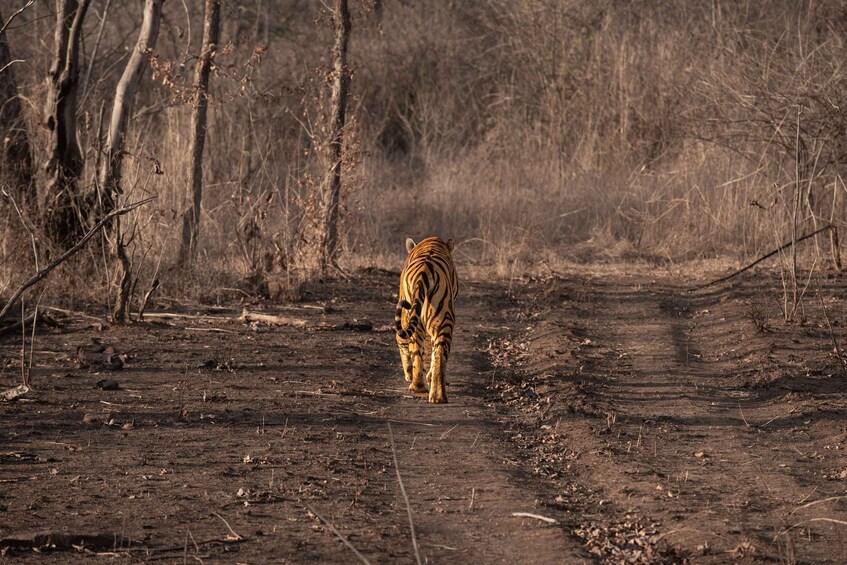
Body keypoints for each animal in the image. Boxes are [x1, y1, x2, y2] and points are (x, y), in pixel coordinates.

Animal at [394, 236, 459, 404]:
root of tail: (424, 269)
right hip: (443, 319)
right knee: (439, 353)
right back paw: (438, 396)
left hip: (413, 316)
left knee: (417, 351)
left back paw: (417, 385)